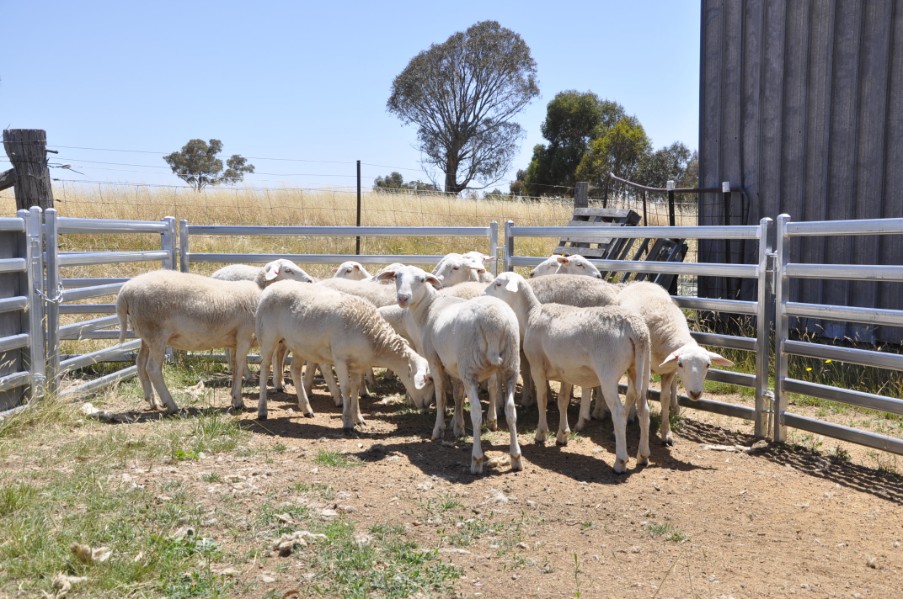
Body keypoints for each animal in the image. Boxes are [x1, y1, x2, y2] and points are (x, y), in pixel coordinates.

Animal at [115, 270, 260, 412]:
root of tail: (125, 292)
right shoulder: (244, 337)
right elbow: (240, 368)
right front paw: (238, 401)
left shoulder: (234, 342)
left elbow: (235, 368)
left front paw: (234, 397)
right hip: (156, 335)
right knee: (152, 369)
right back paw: (171, 405)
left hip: (145, 336)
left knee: (140, 363)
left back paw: (152, 402)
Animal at [254, 280, 434, 432]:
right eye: (427, 380)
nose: (428, 405)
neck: (373, 337)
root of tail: (271, 287)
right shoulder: (340, 359)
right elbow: (346, 388)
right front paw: (347, 422)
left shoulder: (358, 364)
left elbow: (355, 388)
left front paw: (358, 418)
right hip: (268, 336)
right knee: (265, 368)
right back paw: (262, 410)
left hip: (298, 344)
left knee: (295, 371)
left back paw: (306, 408)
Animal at [382, 264, 524, 476]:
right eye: (397, 276)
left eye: (422, 280)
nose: (403, 298)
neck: (428, 308)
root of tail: (494, 323)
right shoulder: (454, 365)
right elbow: (457, 395)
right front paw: (458, 427)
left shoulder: (435, 360)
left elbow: (441, 394)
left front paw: (439, 429)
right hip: (510, 366)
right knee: (510, 410)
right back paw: (515, 457)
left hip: (471, 368)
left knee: (476, 412)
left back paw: (476, 460)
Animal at [488, 272, 648, 474]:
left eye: (498, 284)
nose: (483, 293)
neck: (530, 314)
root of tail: (637, 331)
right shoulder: (566, 372)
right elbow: (562, 401)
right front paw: (562, 435)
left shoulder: (537, 367)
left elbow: (541, 399)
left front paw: (541, 433)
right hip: (640, 369)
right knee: (644, 410)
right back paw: (643, 456)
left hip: (609, 373)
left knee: (618, 413)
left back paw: (620, 462)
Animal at [616, 282, 740, 446]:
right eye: (681, 364)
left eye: (708, 365)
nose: (695, 394)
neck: (669, 329)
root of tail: (643, 282)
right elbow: (634, 391)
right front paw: (629, 415)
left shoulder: (669, 371)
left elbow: (665, 398)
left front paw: (666, 433)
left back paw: (674, 407)